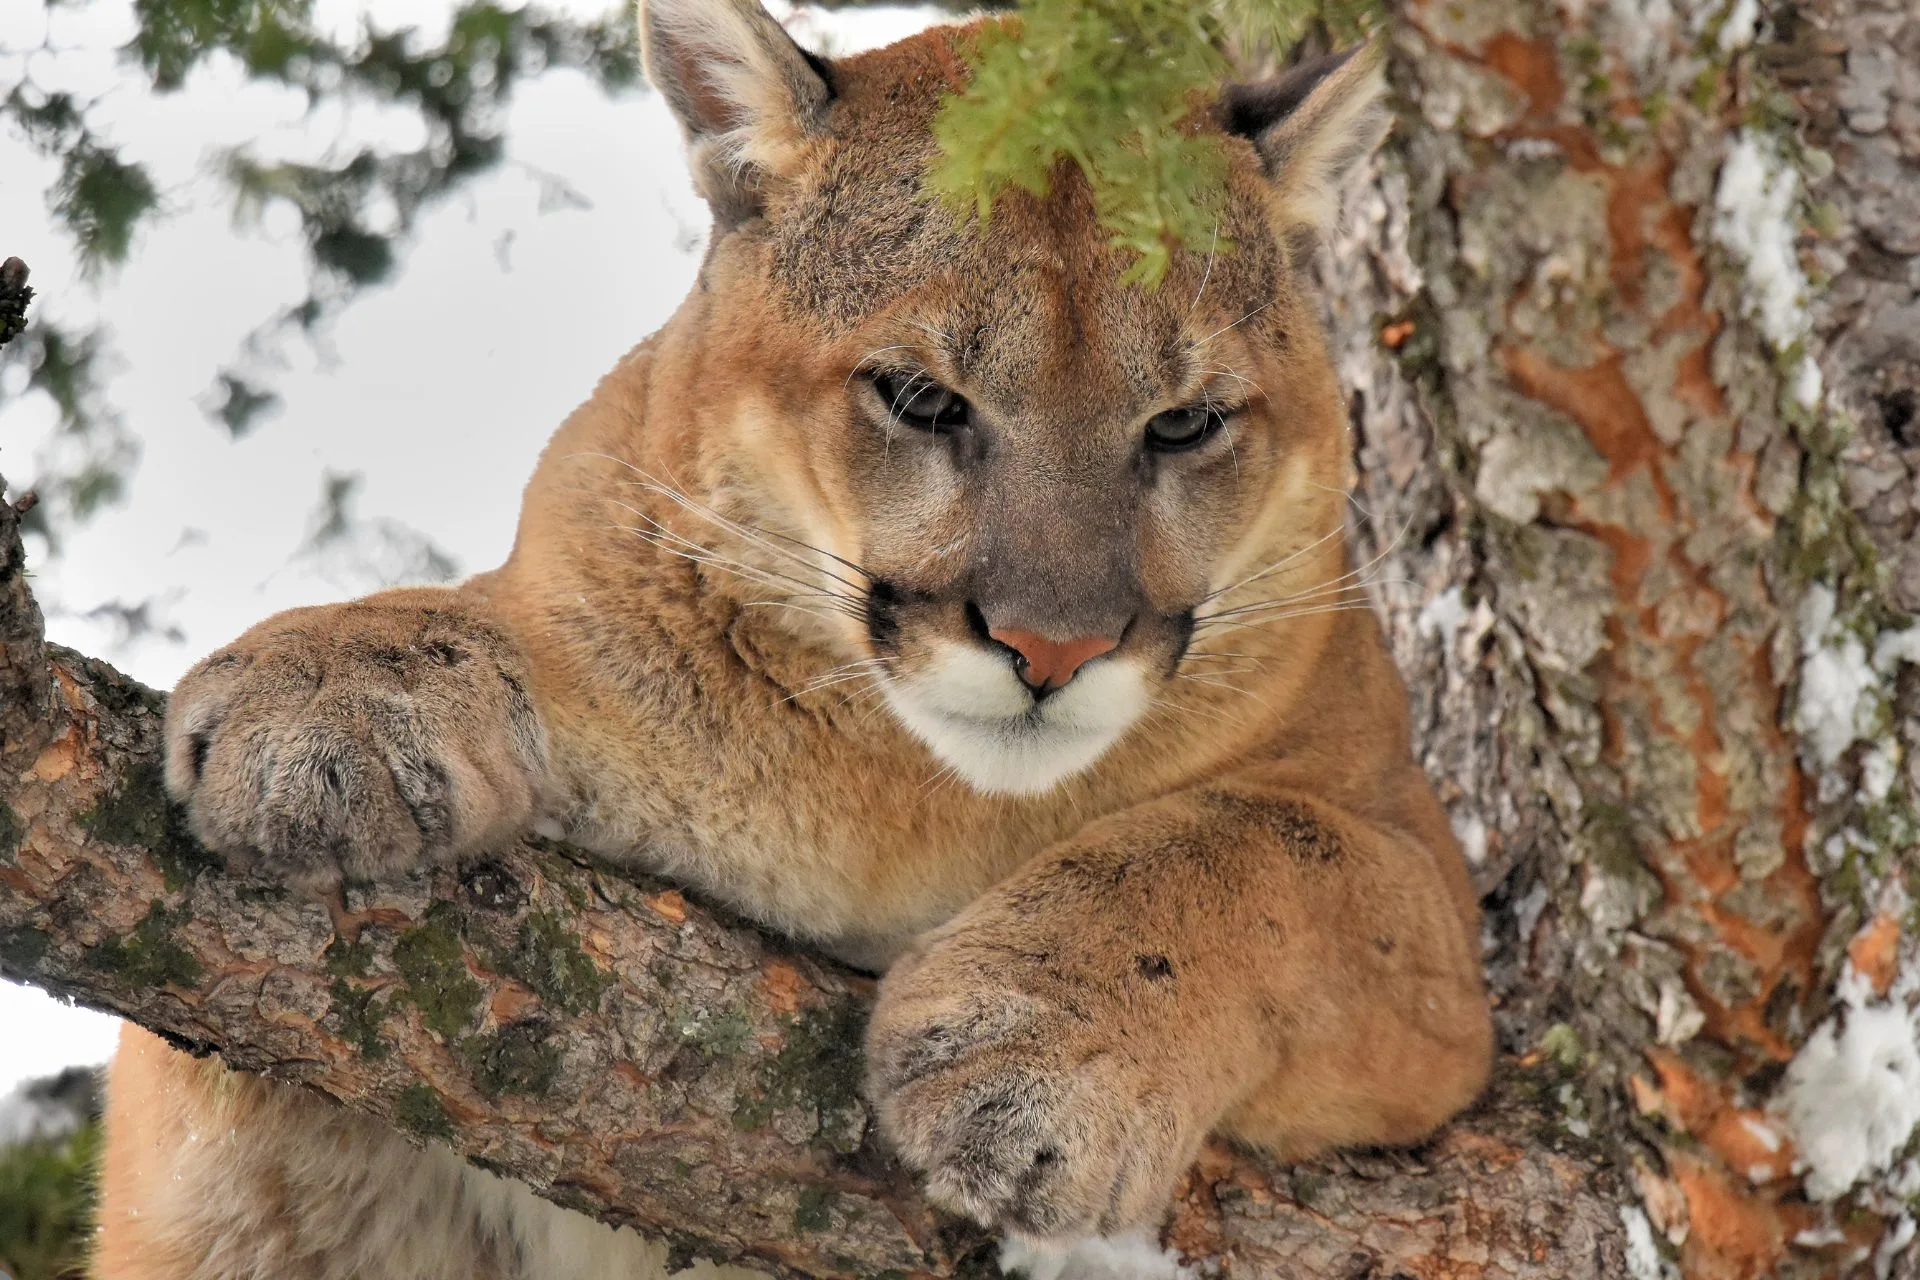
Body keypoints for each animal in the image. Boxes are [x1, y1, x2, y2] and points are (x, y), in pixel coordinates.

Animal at [92, 2, 1492, 1275]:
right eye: (923, 399)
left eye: (1186, 423)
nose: (1051, 648)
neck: (915, 803)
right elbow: (501, 627)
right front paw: (331, 695)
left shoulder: (1425, 893)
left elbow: (1264, 847)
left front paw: (1037, 1052)